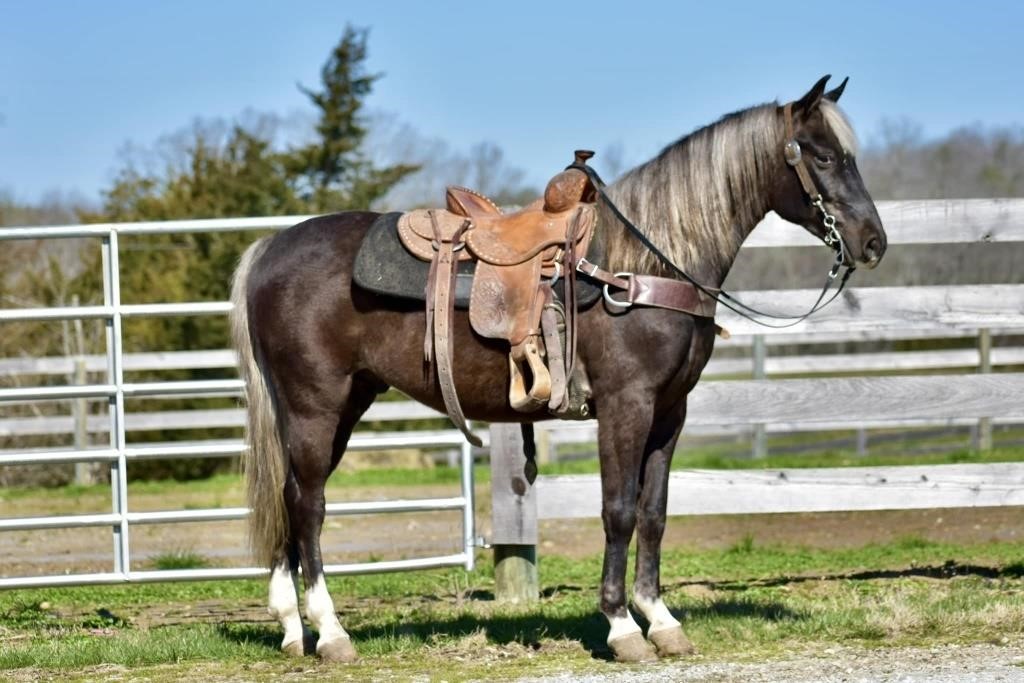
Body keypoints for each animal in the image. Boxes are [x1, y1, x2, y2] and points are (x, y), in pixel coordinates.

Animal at [228, 74, 884, 663]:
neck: (645, 264)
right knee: (309, 502)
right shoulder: (625, 406)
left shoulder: (670, 412)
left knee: (290, 495)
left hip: (345, 402)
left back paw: (293, 631)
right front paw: (622, 628)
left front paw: (662, 621)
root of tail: (271, 248)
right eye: (823, 156)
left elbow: (654, 513)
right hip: (315, 403)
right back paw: (332, 633)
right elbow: (618, 511)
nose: (873, 242)